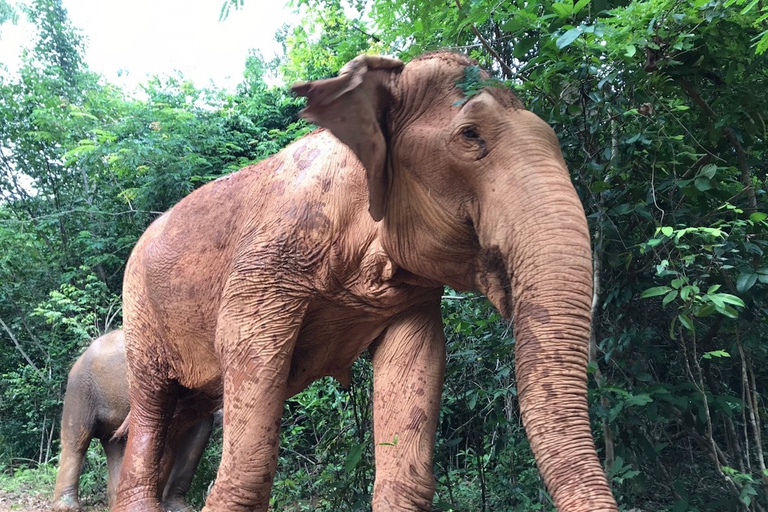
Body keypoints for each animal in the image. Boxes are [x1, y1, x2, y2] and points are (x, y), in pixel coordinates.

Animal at [51, 330, 214, 510]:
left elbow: (199, 430)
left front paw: (179, 509)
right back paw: (67, 507)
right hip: (80, 389)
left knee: (114, 445)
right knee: (77, 440)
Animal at [112, 53, 616, 512]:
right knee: (153, 405)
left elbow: (415, 375)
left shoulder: (410, 299)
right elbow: (246, 422)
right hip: (140, 313)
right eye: (471, 136)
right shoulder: (268, 262)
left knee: (180, 413)